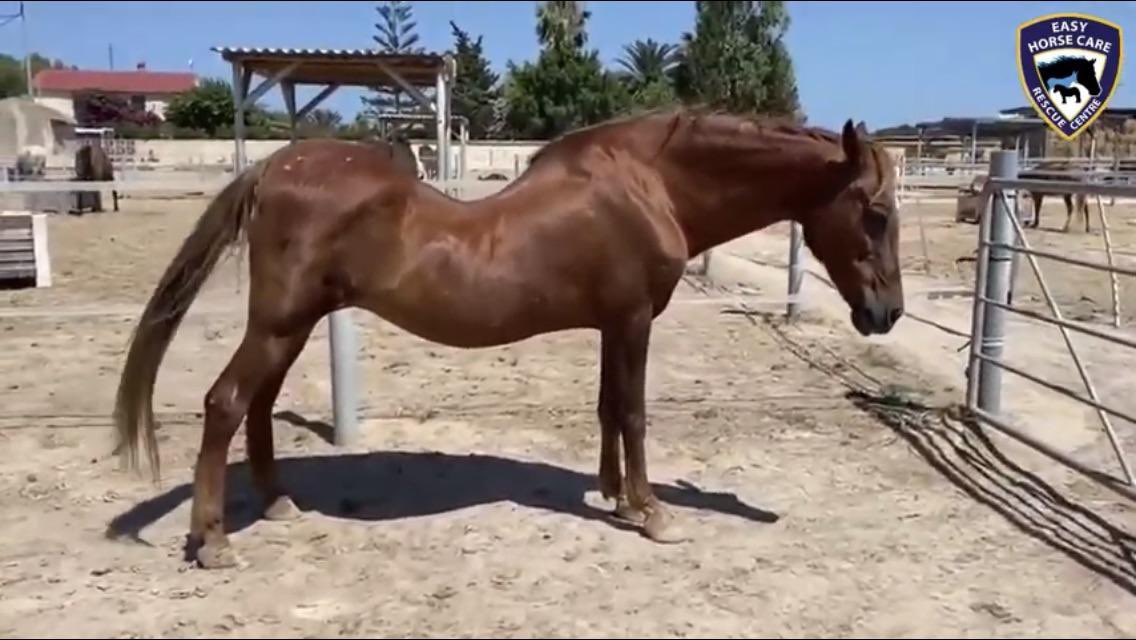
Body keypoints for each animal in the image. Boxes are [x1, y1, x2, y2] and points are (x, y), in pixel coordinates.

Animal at [111, 108, 905, 569]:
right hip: (280, 325)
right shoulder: (634, 319)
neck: (650, 184)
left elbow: (609, 408)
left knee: (258, 405)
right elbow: (635, 413)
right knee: (225, 402)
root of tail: (272, 167)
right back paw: (213, 542)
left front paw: (617, 498)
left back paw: (278, 504)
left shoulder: (614, 323)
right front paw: (653, 513)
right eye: (874, 213)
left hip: (292, 328)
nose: (887, 314)